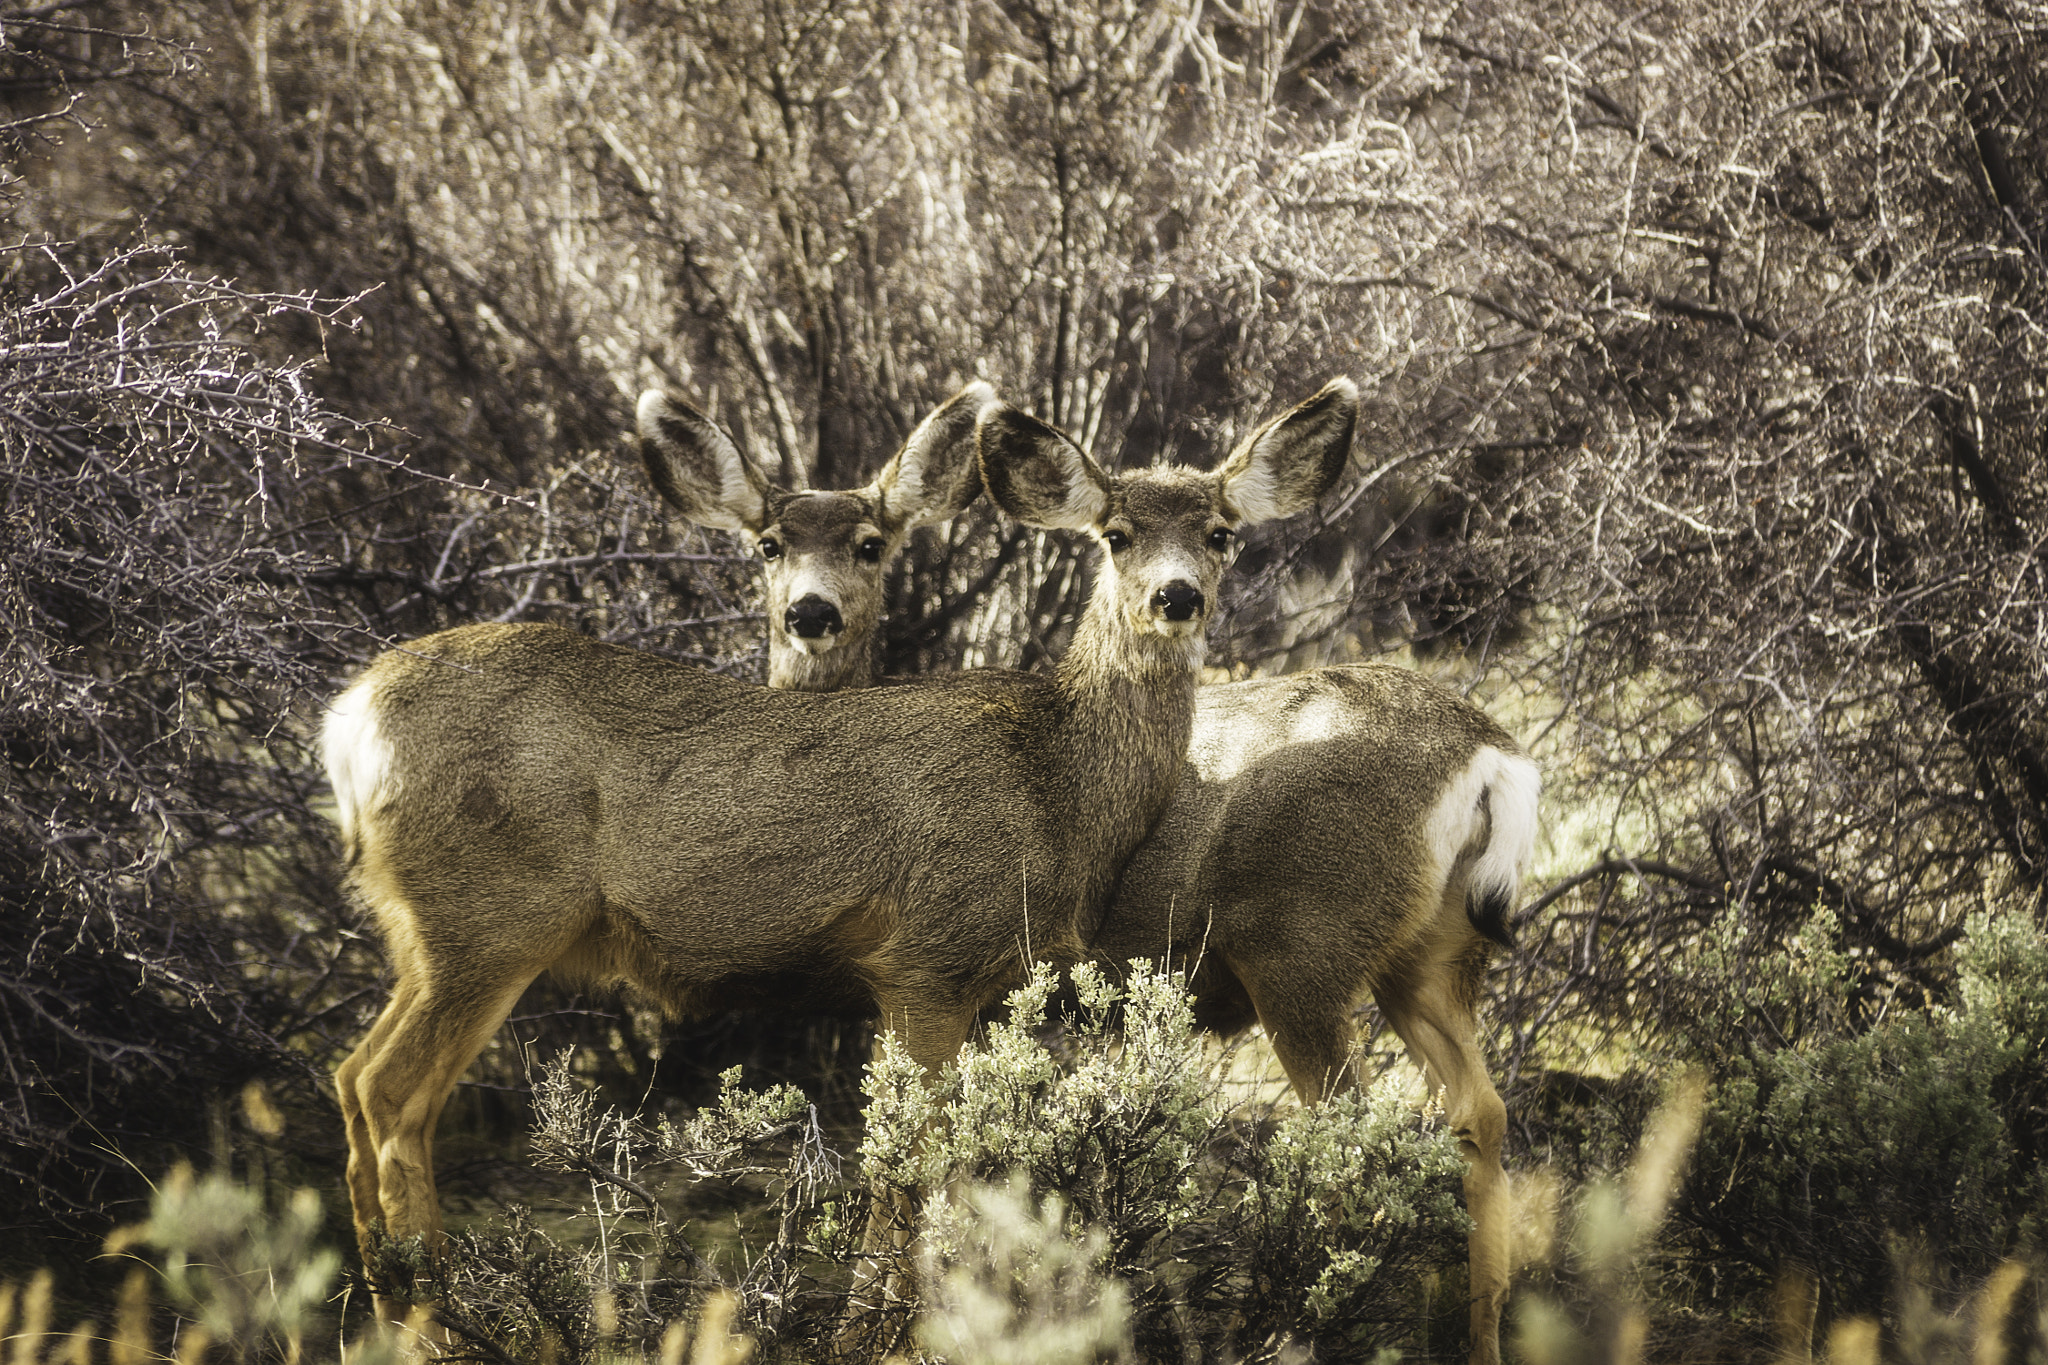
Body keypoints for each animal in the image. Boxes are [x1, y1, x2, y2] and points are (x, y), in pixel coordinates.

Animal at [323, 378, 1359, 1317]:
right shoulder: (929, 955)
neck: (1055, 778)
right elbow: (911, 1162)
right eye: (1116, 533)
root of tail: (347, 720)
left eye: (1221, 532)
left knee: (352, 1075)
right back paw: (434, 1313)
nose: (1175, 597)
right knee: (390, 1089)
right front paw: (883, 1320)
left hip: (426, 929)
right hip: (490, 912)